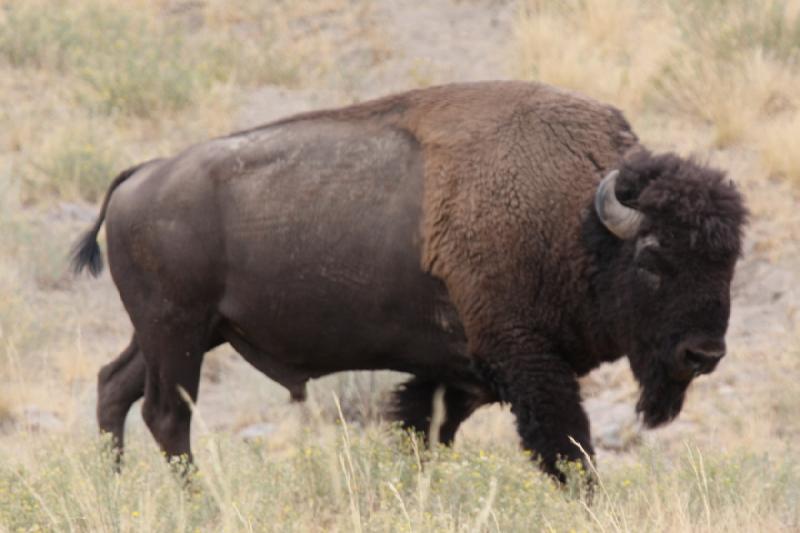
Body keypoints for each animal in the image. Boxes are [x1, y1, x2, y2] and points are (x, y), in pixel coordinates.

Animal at [72, 81, 748, 480]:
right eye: (653, 257)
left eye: (729, 259)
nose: (705, 353)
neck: (577, 219)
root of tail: (141, 175)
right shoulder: (527, 362)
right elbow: (569, 451)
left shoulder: (465, 373)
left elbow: (421, 431)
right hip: (176, 333)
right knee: (165, 415)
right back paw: (194, 502)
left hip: (182, 333)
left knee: (114, 386)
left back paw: (116, 487)